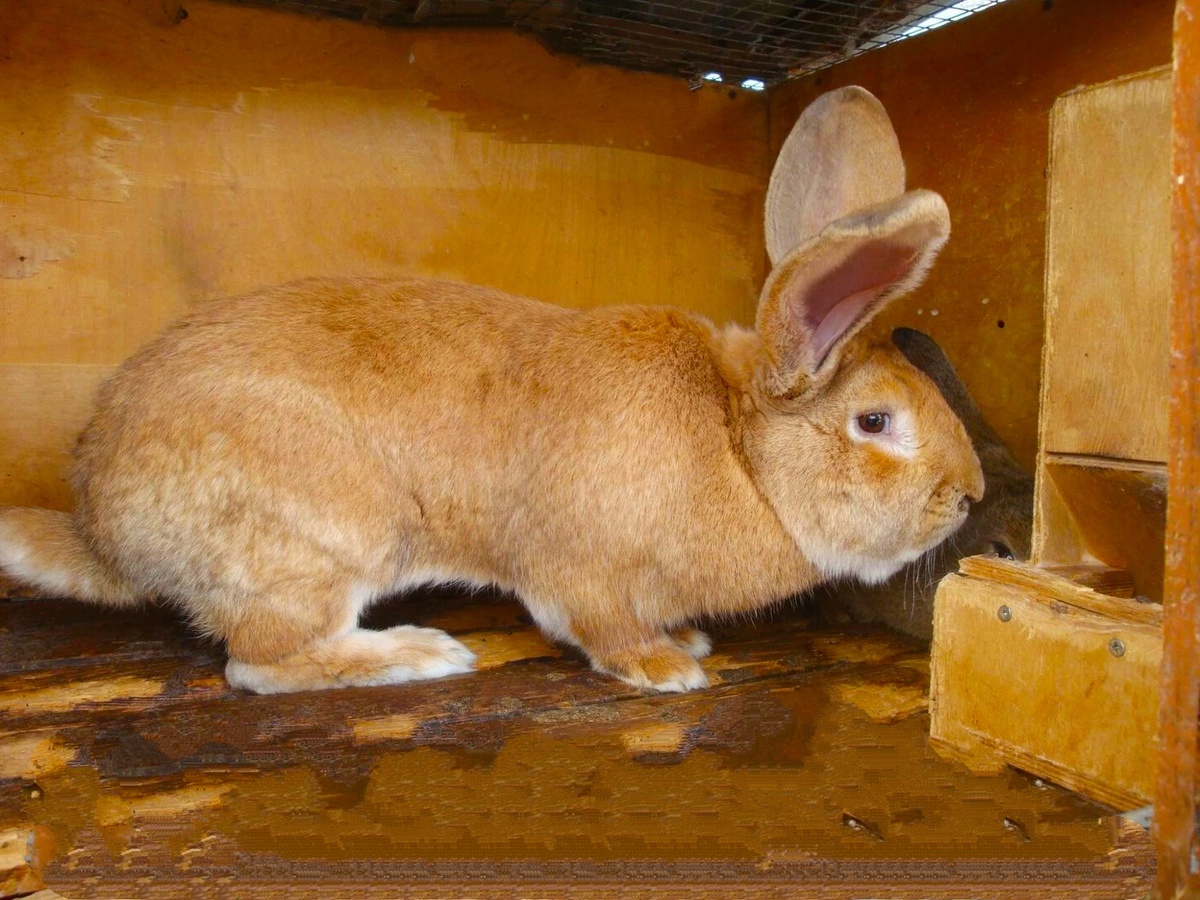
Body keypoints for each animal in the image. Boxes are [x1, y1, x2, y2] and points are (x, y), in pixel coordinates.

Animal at [0, 86, 984, 694]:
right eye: (875, 421)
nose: (968, 496)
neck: (739, 447)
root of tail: (102, 528)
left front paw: (686, 641)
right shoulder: (581, 569)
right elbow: (599, 625)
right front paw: (666, 668)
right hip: (326, 539)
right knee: (259, 662)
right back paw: (418, 654)